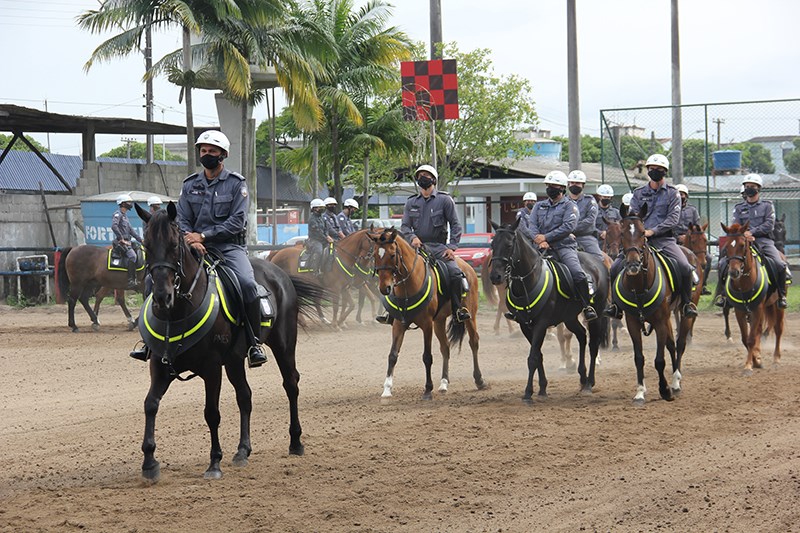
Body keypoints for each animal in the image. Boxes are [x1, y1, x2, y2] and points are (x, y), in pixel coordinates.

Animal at [134, 202, 324, 480]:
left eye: (173, 244)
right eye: (146, 245)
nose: (161, 296)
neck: (178, 311)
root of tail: (279, 272)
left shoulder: (212, 368)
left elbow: (211, 413)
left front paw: (214, 462)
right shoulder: (159, 365)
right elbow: (150, 405)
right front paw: (149, 462)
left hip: (284, 346)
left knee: (291, 384)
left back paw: (295, 442)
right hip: (234, 362)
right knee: (245, 396)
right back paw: (243, 450)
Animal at [368, 225, 488, 400]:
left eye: (392, 255)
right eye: (375, 255)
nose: (385, 288)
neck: (408, 287)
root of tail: (467, 267)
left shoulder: (426, 325)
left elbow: (427, 357)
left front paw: (427, 389)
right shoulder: (398, 324)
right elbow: (393, 355)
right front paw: (387, 389)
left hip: (469, 316)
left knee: (474, 342)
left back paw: (479, 380)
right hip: (439, 322)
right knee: (445, 347)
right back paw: (444, 383)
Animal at [484, 218, 608, 402]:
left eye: (509, 244)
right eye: (492, 244)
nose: (495, 276)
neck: (528, 282)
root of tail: (598, 262)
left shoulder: (541, 324)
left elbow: (532, 358)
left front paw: (528, 393)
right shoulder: (525, 325)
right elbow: (538, 356)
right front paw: (542, 388)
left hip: (597, 314)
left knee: (593, 345)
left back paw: (589, 384)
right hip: (569, 317)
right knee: (581, 336)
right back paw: (582, 377)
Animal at [612, 206, 692, 406]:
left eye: (643, 233)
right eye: (622, 233)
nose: (633, 264)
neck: (639, 287)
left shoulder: (660, 322)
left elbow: (659, 360)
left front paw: (665, 390)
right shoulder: (633, 322)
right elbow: (639, 358)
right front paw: (640, 392)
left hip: (683, 315)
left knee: (679, 344)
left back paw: (676, 382)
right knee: (671, 345)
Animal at [716, 220, 784, 374]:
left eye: (742, 245)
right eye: (726, 246)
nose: (733, 272)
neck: (744, 282)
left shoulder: (757, 309)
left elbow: (751, 338)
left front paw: (748, 366)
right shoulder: (740, 311)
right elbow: (745, 338)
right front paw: (756, 361)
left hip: (777, 306)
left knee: (778, 330)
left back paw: (777, 358)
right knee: (759, 330)